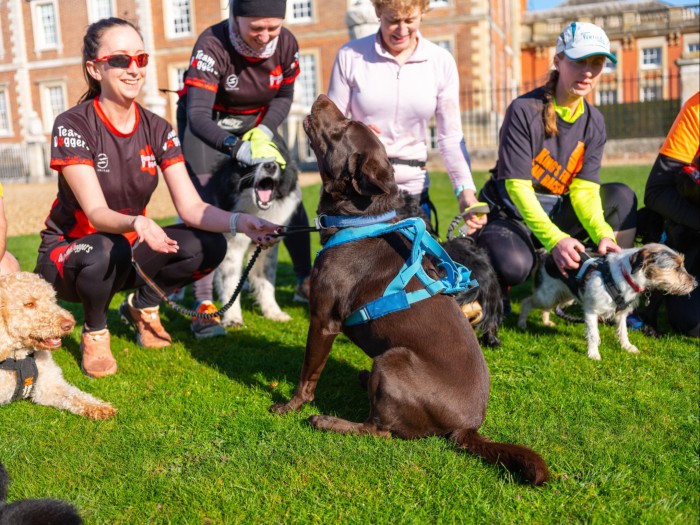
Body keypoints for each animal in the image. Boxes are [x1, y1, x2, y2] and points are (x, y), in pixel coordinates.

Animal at [0, 272, 115, 420]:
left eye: (51, 299)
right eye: (29, 304)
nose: (69, 324)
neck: (19, 358)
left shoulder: (49, 385)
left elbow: (74, 395)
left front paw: (99, 407)